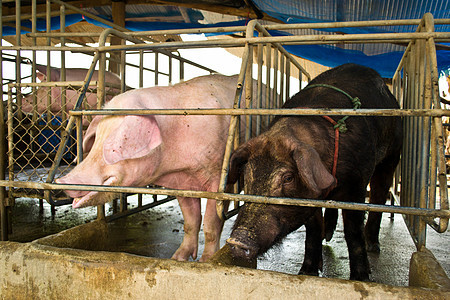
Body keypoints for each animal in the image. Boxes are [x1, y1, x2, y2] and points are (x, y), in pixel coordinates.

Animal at [56, 74, 260, 262]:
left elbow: (211, 224)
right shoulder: (181, 183)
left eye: (113, 145)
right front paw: (176, 258)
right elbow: (191, 222)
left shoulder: (219, 179)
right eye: (97, 138)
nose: (62, 180)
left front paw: (206, 261)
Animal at [227, 63, 402, 282]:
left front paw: (360, 278)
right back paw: (328, 236)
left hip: (392, 155)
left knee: (379, 195)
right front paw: (307, 272)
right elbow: (313, 229)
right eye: (248, 174)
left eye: (288, 177)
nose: (237, 241)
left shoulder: (357, 184)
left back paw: (373, 246)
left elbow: (353, 231)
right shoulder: (310, 195)